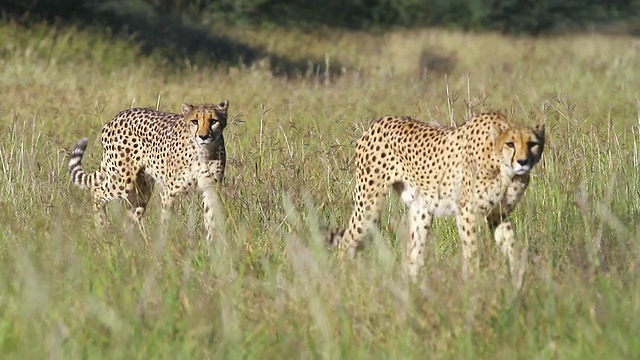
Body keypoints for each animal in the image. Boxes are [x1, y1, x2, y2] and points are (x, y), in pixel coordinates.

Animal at [69, 100, 230, 243]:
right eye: (195, 121)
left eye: (213, 121)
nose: (203, 136)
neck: (203, 151)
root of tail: (118, 116)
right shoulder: (170, 192)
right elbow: (165, 221)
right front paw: (163, 245)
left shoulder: (211, 190)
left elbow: (211, 220)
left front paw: (213, 247)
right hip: (122, 180)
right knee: (96, 192)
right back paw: (101, 228)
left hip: (142, 188)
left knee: (131, 215)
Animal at [330, 111, 544, 280]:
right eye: (510, 144)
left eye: (532, 143)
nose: (523, 161)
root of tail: (378, 122)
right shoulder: (467, 211)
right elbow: (472, 249)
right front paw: (473, 281)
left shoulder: (498, 213)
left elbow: (511, 245)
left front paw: (518, 276)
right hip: (368, 207)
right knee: (347, 242)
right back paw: (345, 280)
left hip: (421, 210)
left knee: (413, 254)